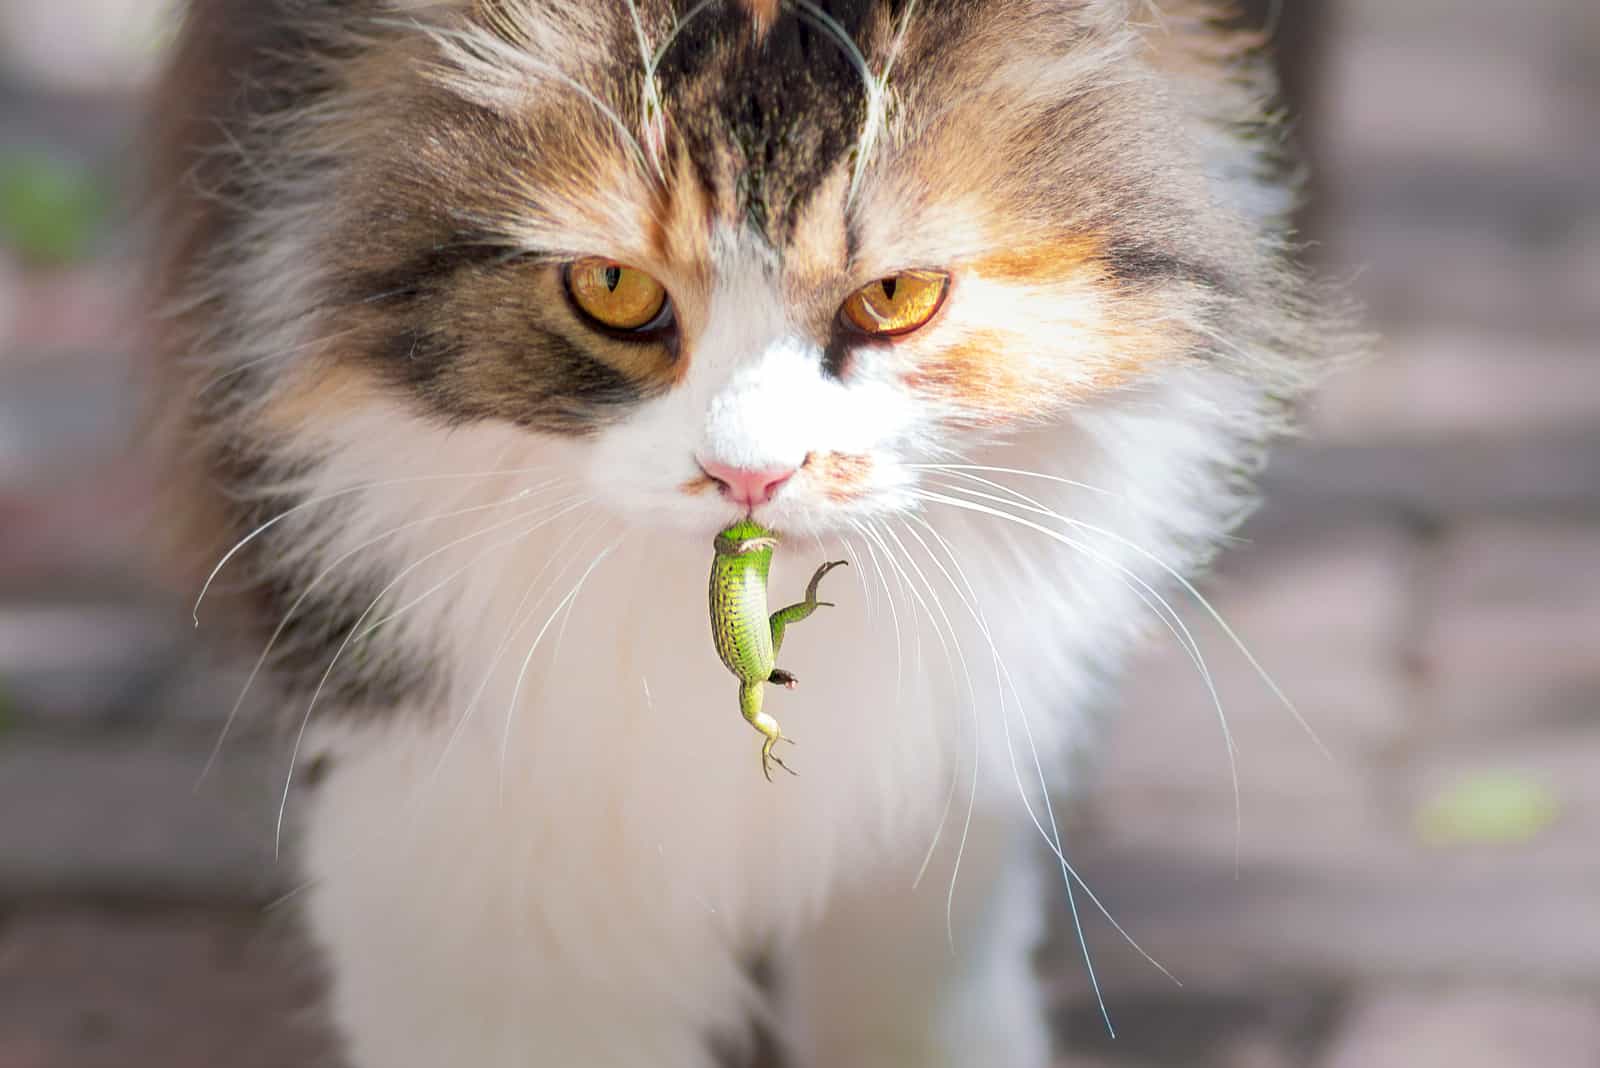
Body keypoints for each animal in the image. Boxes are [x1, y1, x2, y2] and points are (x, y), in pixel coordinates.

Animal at [147, 4, 1350, 1061]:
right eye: (613, 286)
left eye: (895, 295)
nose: (748, 475)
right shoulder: (455, 796)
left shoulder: (938, 792)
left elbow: (915, 981)